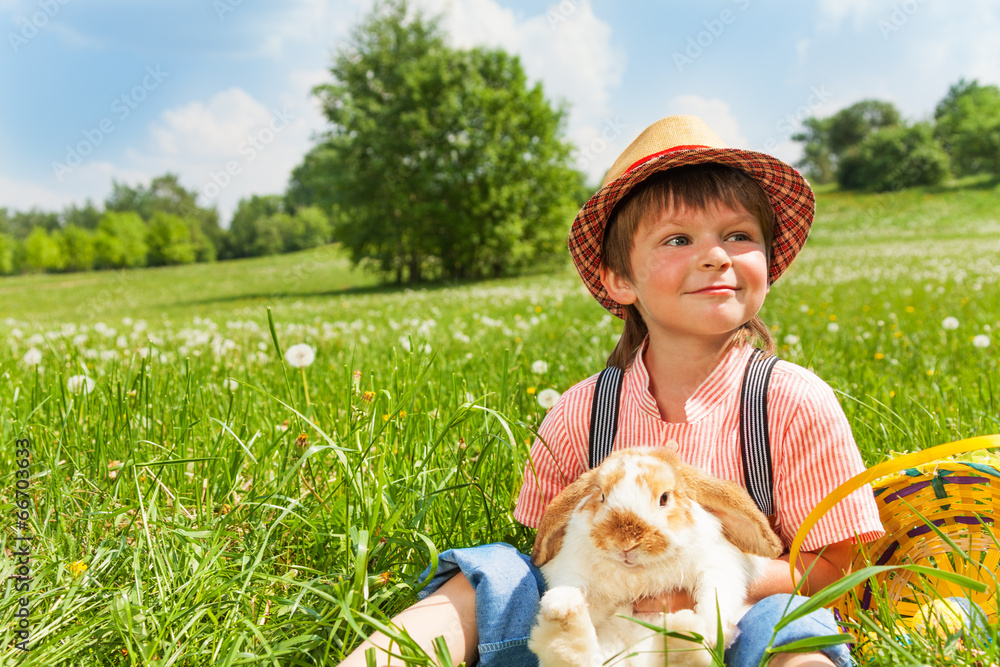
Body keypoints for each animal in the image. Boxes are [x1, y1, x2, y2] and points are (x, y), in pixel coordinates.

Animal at [528, 444, 784, 667]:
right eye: (601, 497)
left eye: (664, 498)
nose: (626, 543)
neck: (638, 573)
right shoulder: (573, 573)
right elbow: (579, 590)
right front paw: (561, 599)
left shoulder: (720, 565)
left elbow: (716, 595)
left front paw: (711, 629)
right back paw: (564, 616)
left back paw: (685, 630)